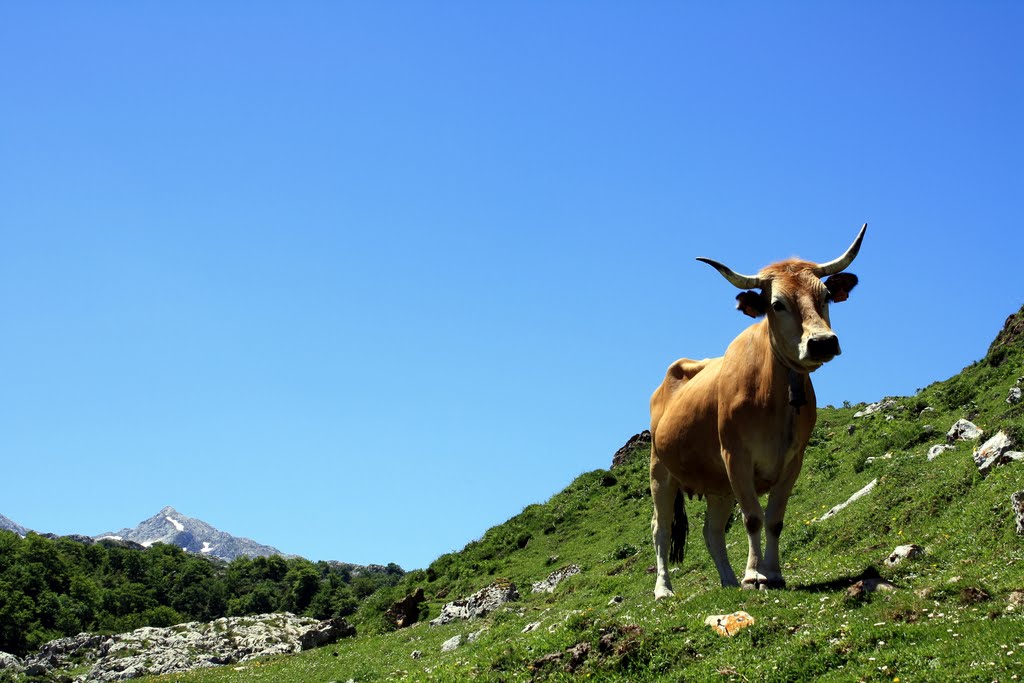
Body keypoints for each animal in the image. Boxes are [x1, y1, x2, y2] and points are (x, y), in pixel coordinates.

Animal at [647, 224, 864, 598]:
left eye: (825, 295)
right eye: (777, 304)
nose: (822, 342)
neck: (774, 399)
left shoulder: (793, 460)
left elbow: (774, 519)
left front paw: (772, 573)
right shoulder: (736, 456)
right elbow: (753, 518)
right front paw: (754, 575)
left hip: (716, 484)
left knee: (712, 531)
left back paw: (728, 581)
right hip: (660, 471)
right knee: (661, 530)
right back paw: (664, 590)